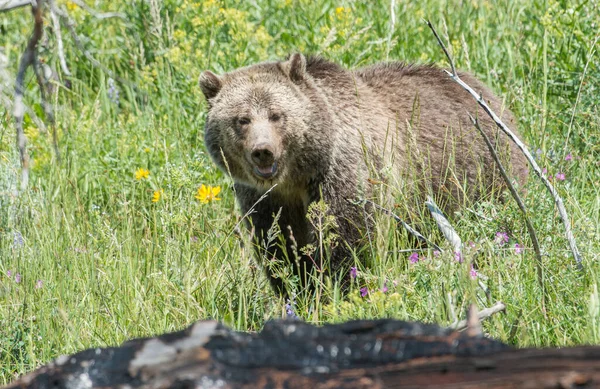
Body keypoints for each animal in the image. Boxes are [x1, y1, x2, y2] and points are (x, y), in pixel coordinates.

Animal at [199, 53, 528, 296]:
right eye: (242, 119)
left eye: (277, 114)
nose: (263, 151)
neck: (298, 174)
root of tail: (483, 91)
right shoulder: (266, 199)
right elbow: (279, 246)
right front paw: (298, 291)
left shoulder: (344, 173)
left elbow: (349, 239)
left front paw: (342, 289)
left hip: (480, 173)